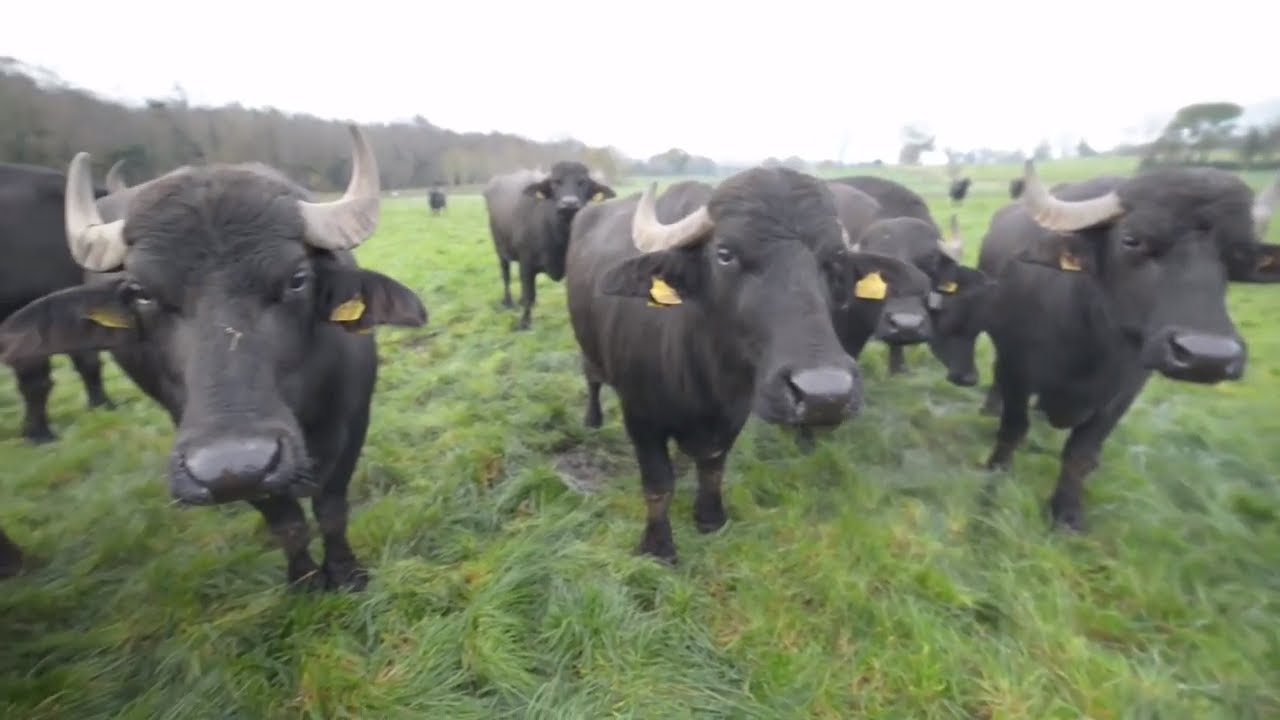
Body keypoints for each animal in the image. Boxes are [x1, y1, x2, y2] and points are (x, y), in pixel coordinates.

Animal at [483, 162, 615, 330]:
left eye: (583, 182)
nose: (569, 204)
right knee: (506, 275)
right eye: (555, 182)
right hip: (500, 248)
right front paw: (524, 322)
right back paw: (508, 301)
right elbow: (529, 294)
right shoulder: (526, 263)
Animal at [566, 168, 925, 563]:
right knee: (592, 379)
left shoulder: (733, 413)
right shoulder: (641, 417)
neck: (702, 375)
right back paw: (592, 419)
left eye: (836, 258)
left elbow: (713, 467)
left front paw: (710, 518)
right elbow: (658, 484)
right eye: (724, 254)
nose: (825, 396)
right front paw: (658, 546)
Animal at [980, 160, 1280, 531]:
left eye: (1239, 255)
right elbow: (1013, 429)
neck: (1090, 345)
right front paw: (994, 481)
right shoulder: (1016, 368)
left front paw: (1067, 512)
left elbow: (1081, 452)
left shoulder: (1124, 393)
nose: (1207, 357)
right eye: (1131, 240)